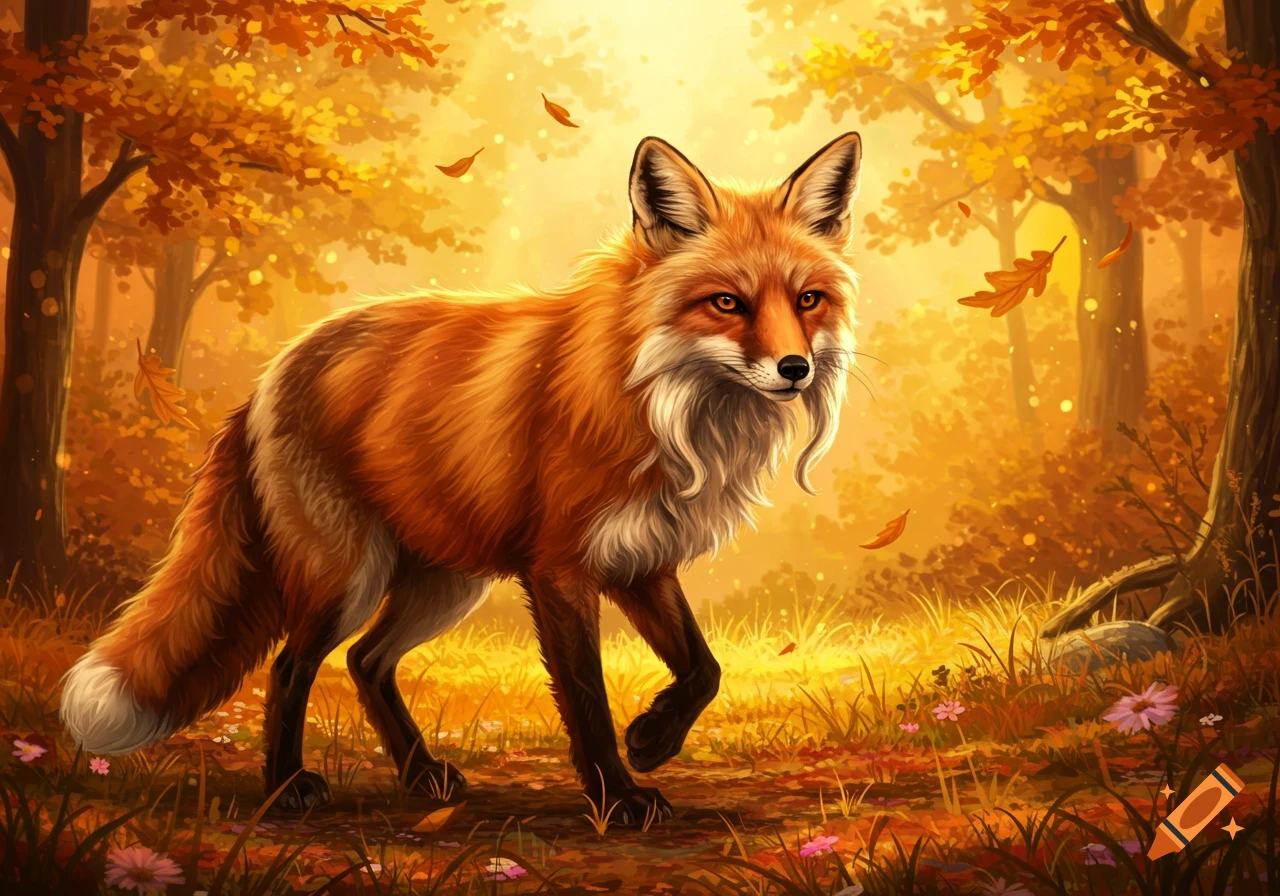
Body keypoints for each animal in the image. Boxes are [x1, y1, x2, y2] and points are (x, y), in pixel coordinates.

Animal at [60, 132, 863, 822]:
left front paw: (653, 739)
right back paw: (287, 786)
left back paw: (420, 776)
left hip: (445, 582)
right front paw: (618, 796)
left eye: (808, 300)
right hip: (347, 576)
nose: (795, 369)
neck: (658, 401)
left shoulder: (641, 558)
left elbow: (704, 669)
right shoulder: (560, 569)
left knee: (366, 662)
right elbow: (587, 699)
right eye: (727, 302)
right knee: (290, 669)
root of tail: (272, 371)